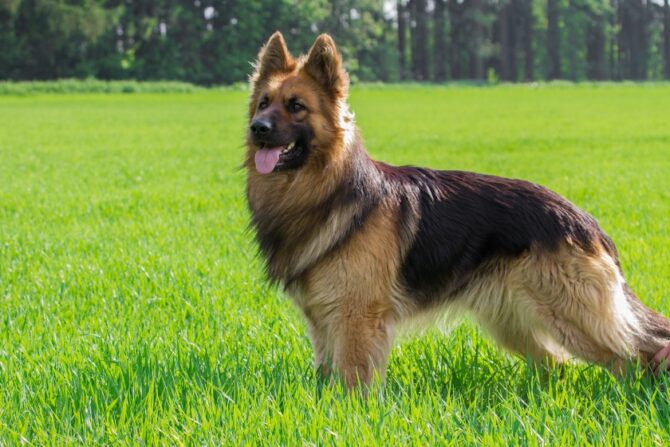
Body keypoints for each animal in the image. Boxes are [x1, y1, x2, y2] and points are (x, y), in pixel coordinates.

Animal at [245, 31, 670, 388]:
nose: (257, 128)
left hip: (575, 319)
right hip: (513, 323)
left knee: (634, 358)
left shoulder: (356, 319)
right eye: (264, 102)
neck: (325, 189)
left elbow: (353, 382)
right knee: (559, 365)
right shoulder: (322, 322)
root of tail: (586, 222)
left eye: (297, 106)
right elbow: (326, 378)